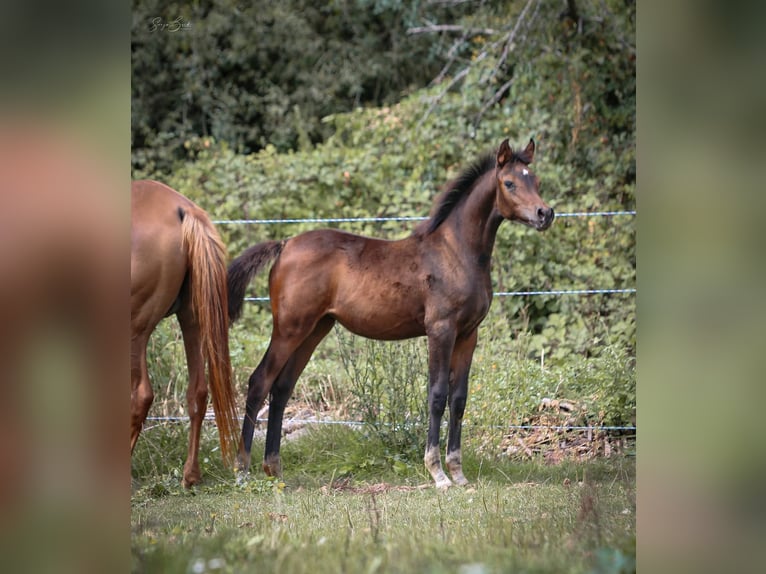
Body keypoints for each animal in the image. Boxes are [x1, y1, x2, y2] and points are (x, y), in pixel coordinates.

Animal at [131, 180, 240, 487]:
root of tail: (183, 210)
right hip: (192, 319)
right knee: (198, 391)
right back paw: (190, 475)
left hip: (133, 328)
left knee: (140, 395)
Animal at [227, 139, 554, 488]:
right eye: (509, 183)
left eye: (536, 180)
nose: (545, 214)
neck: (456, 253)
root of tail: (285, 244)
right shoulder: (441, 330)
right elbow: (437, 395)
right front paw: (438, 473)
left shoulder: (468, 334)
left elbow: (459, 399)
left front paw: (458, 472)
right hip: (289, 328)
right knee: (259, 382)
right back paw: (242, 470)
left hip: (315, 329)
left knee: (282, 388)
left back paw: (274, 468)